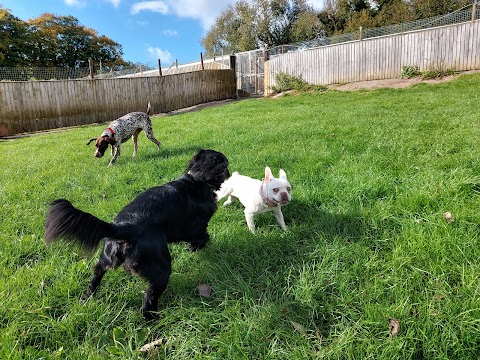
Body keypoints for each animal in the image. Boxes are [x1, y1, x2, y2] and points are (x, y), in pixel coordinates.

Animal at [45, 150, 231, 320]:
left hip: (106, 259)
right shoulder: (194, 228)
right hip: (161, 270)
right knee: (149, 300)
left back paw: (86, 298)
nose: (229, 172)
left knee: (96, 274)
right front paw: (196, 247)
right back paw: (154, 318)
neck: (196, 178)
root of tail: (122, 227)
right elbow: (202, 237)